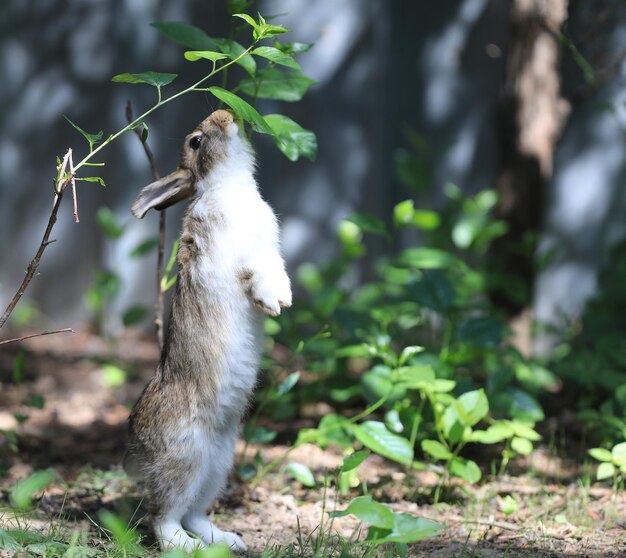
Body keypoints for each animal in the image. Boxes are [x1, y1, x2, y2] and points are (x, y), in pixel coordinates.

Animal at [127, 108, 292, 552]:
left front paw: (283, 299)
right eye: (195, 141)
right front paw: (270, 301)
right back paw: (189, 547)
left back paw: (230, 541)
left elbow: (274, 266)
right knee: (164, 518)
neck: (229, 185)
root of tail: (137, 442)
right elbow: (252, 270)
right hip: (187, 455)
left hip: (219, 462)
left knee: (194, 512)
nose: (226, 113)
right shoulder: (227, 250)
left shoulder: (269, 249)